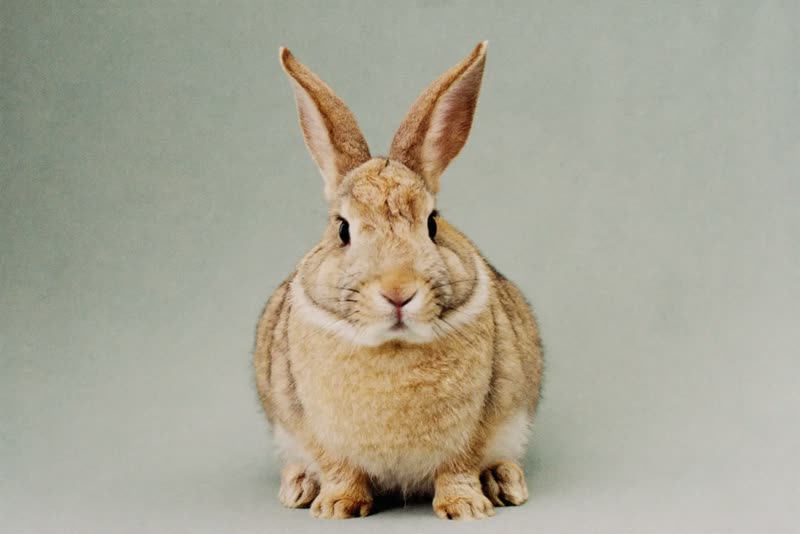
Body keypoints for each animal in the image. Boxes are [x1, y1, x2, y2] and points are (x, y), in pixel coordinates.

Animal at [253, 41, 543, 520]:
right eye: (343, 230)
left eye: (432, 224)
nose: (397, 292)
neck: (393, 344)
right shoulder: (316, 430)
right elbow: (340, 468)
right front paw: (336, 507)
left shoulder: (474, 429)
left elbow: (458, 467)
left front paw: (466, 508)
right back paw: (298, 487)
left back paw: (504, 482)